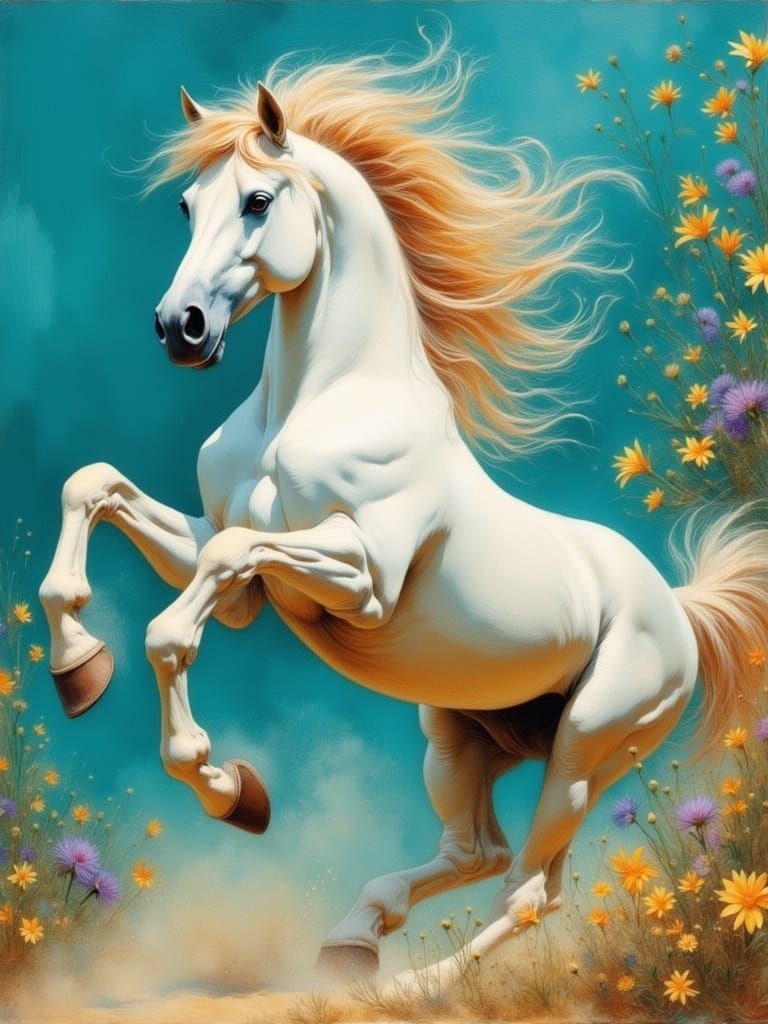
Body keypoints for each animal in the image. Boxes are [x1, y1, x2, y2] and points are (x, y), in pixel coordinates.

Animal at [39, 36, 768, 988]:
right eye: (187, 204)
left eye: (258, 200)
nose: (179, 327)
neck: (315, 400)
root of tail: (678, 609)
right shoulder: (229, 572)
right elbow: (95, 487)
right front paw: (81, 668)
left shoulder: (361, 578)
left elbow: (206, 583)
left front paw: (221, 782)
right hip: (456, 736)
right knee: (478, 854)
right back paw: (353, 937)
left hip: (590, 747)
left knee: (530, 890)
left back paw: (414, 985)